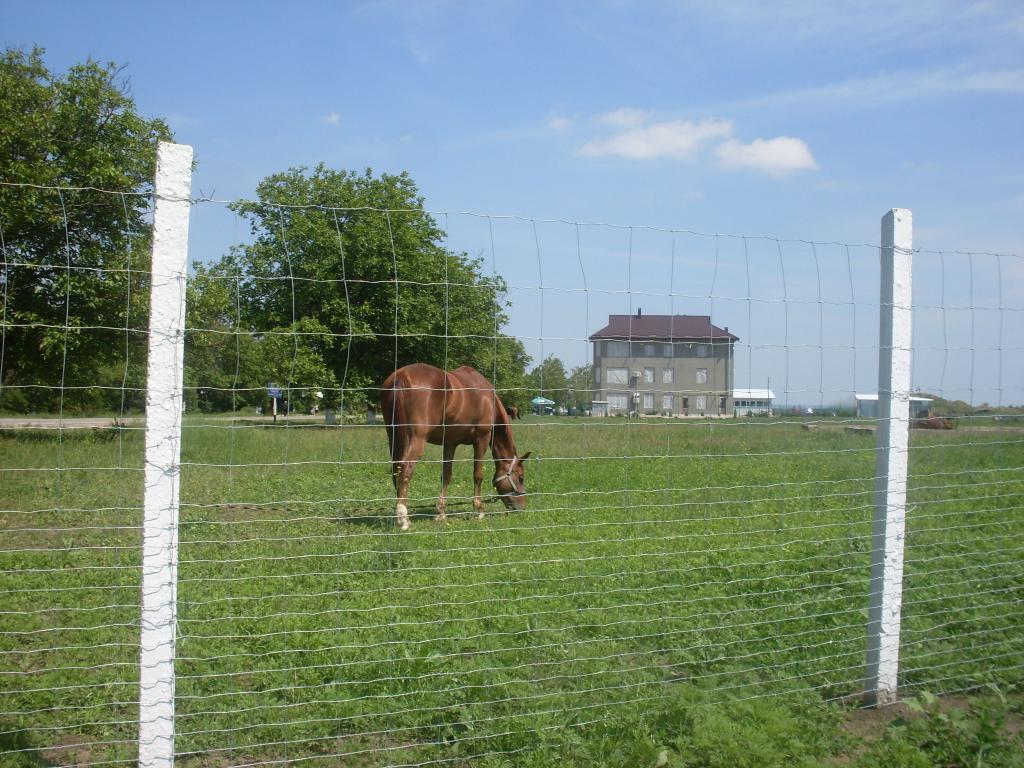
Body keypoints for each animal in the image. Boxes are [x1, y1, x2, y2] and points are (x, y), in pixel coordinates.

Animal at [380, 364, 532, 532]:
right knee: (406, 469)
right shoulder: (481, 440)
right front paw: (479, 510)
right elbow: (478, 475)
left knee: (396, 469)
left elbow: (446, 475)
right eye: (521, 477)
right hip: (417, 438)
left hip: (393, 435)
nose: (521, 507)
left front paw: (441, 512)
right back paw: (403, 518)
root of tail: (401, 376)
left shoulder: (450, 444)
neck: (487, 399)